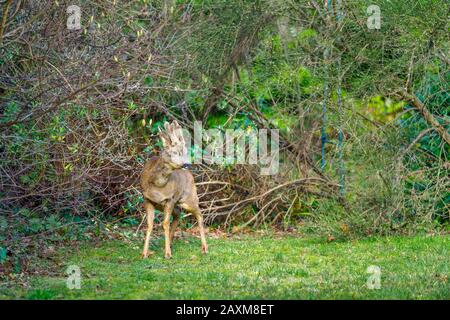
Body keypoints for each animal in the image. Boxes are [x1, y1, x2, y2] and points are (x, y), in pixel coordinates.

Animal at [140, 121, 208, 258]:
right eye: (175, 152)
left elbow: (165, 223)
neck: (157, 185)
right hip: (173, 204)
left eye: (185, 151)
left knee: (199, 214)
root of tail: (190, 175)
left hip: (189, 198)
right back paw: (170, 243)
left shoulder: (170, 199)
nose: (187, 164)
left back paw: (204, 248)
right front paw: (144, 253)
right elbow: (150, 225)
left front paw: (167, 254)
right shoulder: (147, 199)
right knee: (178, 215)